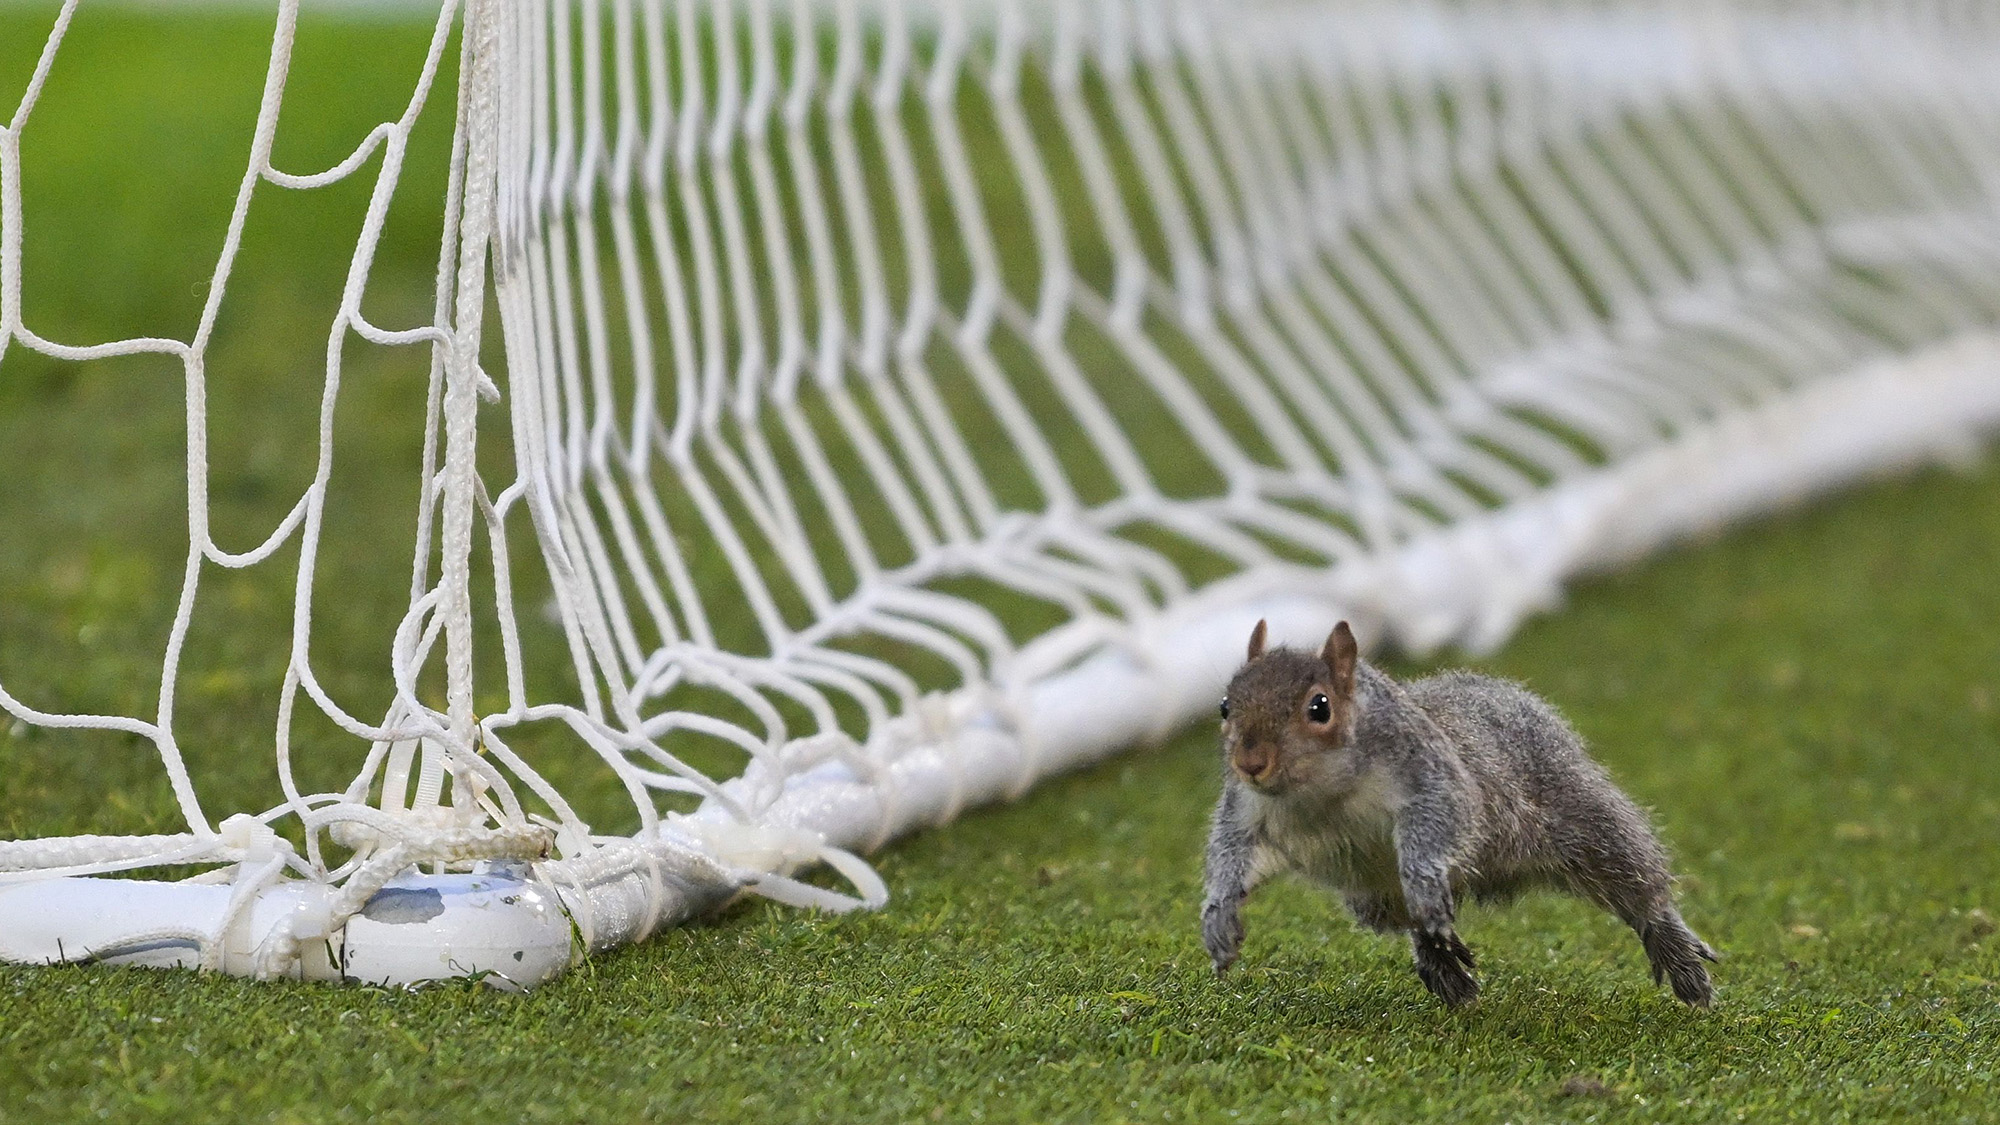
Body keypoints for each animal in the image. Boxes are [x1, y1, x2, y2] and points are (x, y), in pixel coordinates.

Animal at [1201, 619, 1717, 1008]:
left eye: (1320, 707)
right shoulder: (1246, 812)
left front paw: (1425, 877)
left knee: (1638, 888)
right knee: (1418, 925)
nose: (1250, 763)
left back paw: (1677, 954)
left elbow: (1443, 818)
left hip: (1589, 826)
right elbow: (1230, 855)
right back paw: (1442, 961)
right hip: (1375, 899)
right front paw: (1218, 916)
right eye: (1225, 706)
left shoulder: (1433, 779)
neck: (1318, 793)